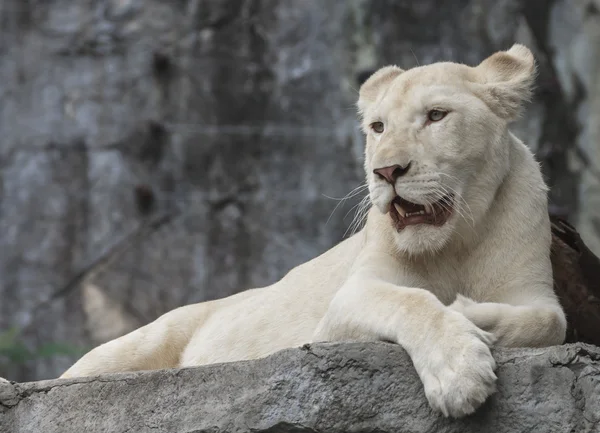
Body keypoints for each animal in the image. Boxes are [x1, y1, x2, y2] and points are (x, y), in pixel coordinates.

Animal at [58, 44, 564, 418]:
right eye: (378, 127)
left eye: (437, 116)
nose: (386, 172)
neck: (456, 240)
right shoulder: (347, 301)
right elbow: (413, 302)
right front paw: (459, 371)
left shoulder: (535, 291)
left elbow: (548, 323)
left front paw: (469, 312)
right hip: (141, 340)